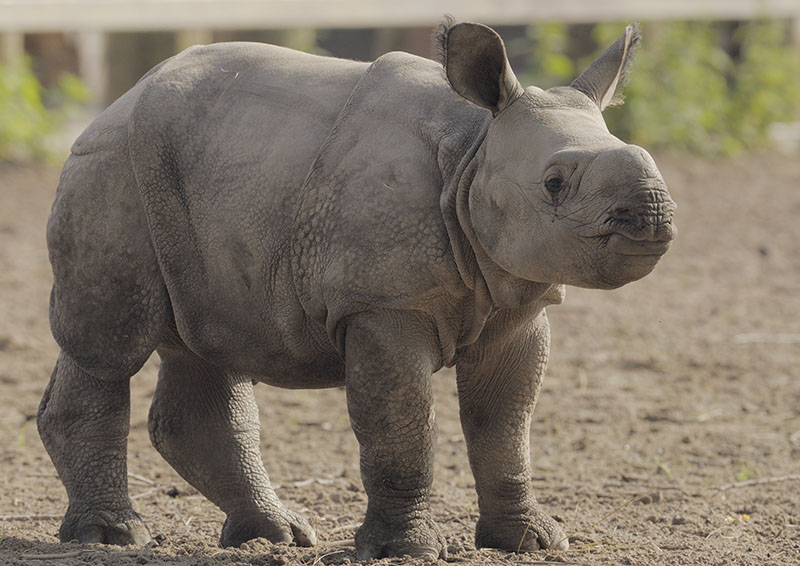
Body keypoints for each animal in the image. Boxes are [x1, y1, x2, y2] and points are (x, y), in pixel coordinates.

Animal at [38, 19, 676, 560]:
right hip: (112, 168)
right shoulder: (380, 303)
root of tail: (115, 104)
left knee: (208, 345)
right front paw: (404, 552)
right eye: (553, 183)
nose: (650, 212)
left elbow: (505, 427)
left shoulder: (514, 300)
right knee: (109, 346)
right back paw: (111, 536)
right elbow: (402, 424)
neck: (473, 150)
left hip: (212, 182)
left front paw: (530, 542)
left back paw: (275, 535)